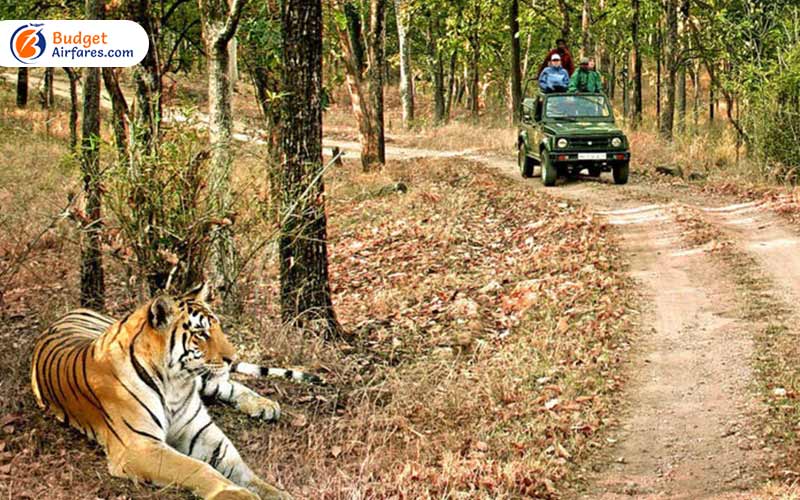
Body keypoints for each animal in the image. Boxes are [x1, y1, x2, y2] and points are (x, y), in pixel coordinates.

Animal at [32, 284, 318, 500]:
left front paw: (275, 493)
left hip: (207, 382)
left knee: (230, 384)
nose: (232, 357)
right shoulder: (139, 446)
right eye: (201, 333)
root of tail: (73, 310)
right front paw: (237, 494)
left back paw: (264, 406)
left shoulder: (200, 431)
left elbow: (242, 468)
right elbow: (197, 468)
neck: (176, 384)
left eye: (218, 326)